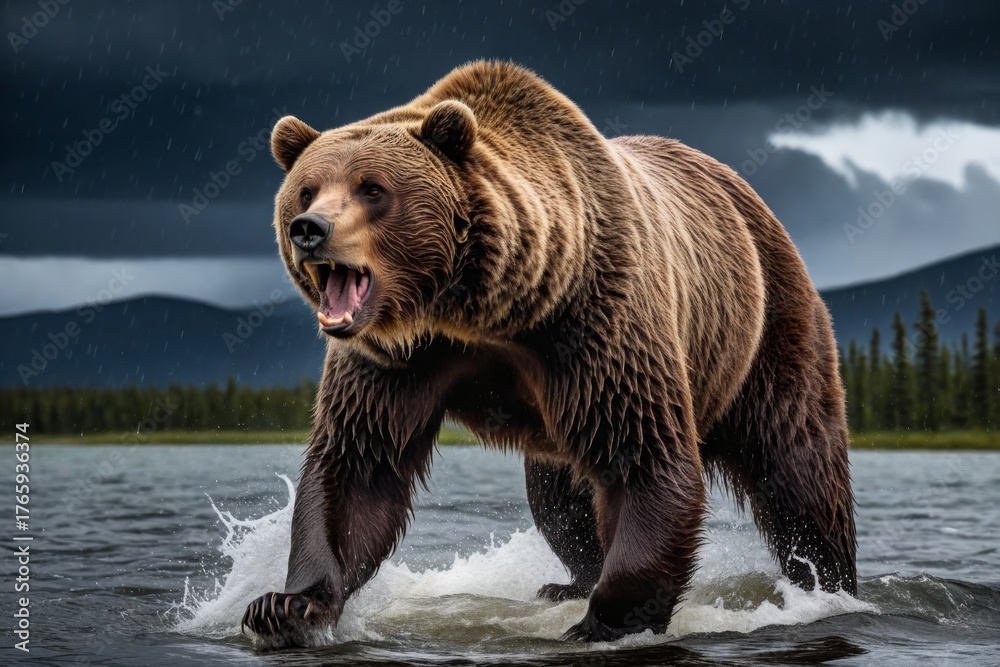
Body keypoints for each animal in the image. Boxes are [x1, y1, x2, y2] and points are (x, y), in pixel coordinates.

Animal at [241, 60, 857, 647]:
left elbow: (642, 458)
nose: (309, 228)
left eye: (372, 189)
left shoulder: (595, 323)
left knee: (800, 466)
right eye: (306, 189)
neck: (481, 309)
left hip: (769, 325)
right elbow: (359, 466)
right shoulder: (395, 360)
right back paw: (568, 581)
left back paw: (825, 584)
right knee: (558, 498)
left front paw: (608, 619)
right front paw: (286, 605)